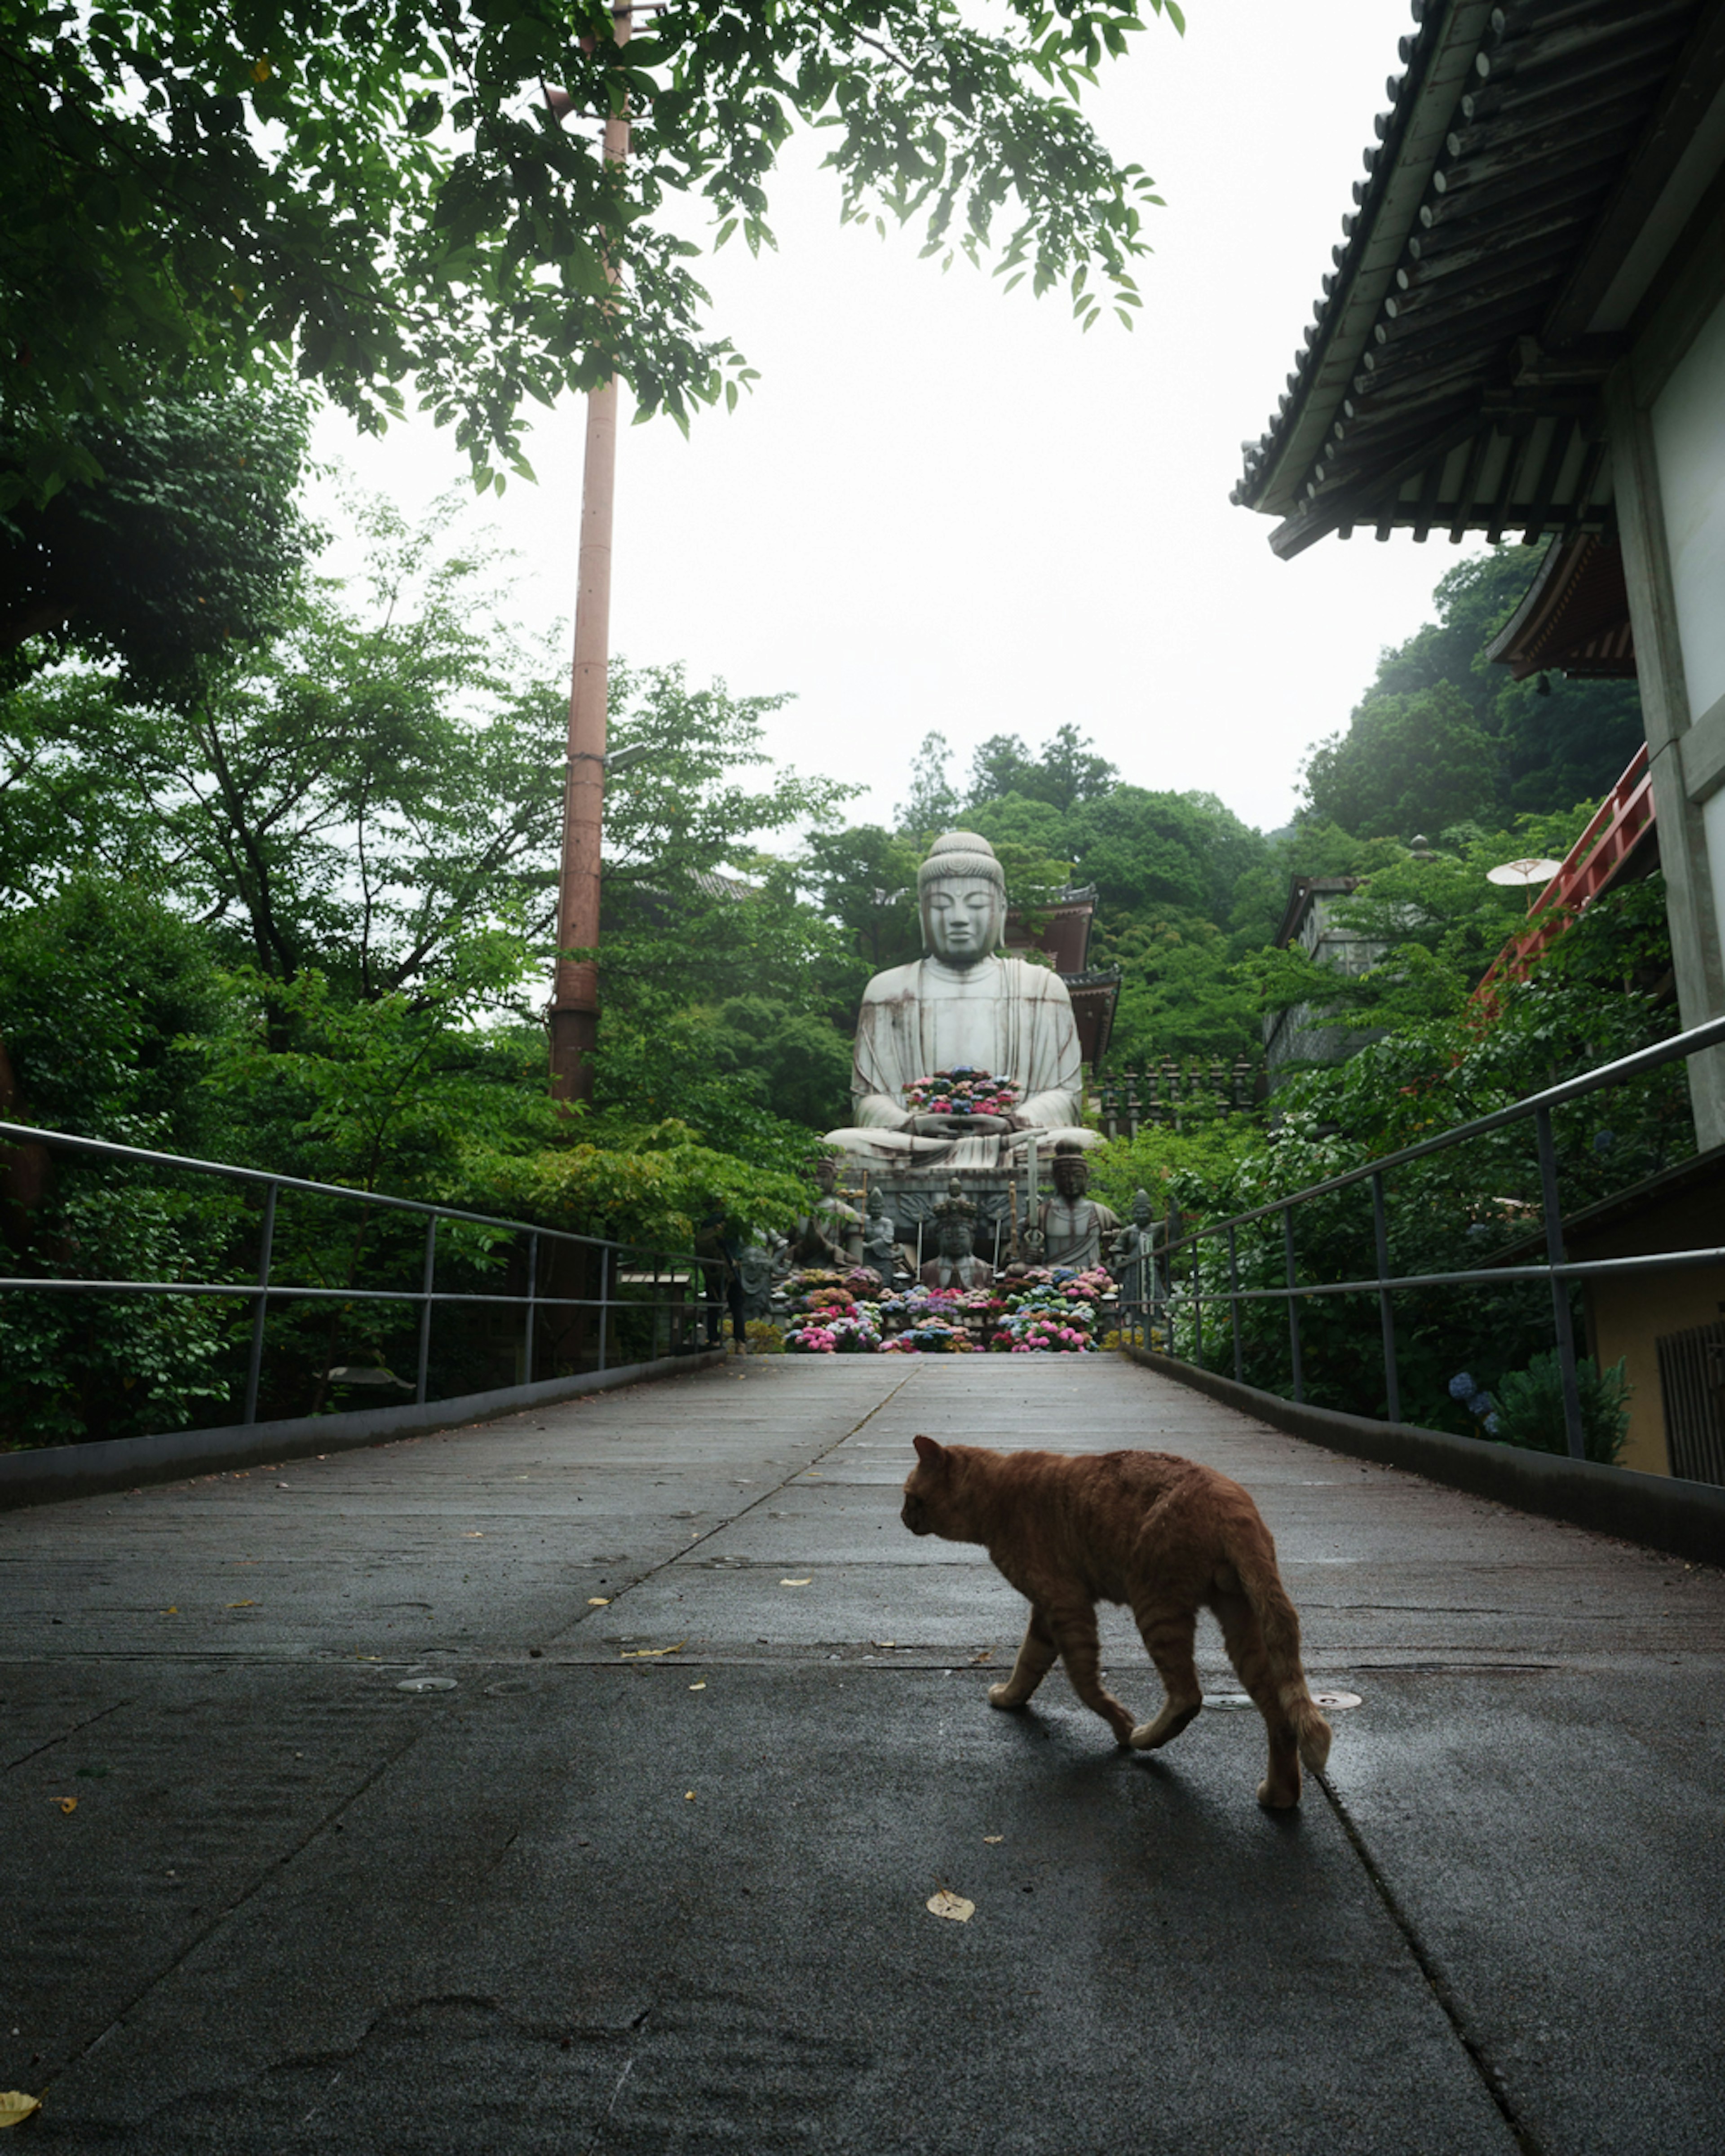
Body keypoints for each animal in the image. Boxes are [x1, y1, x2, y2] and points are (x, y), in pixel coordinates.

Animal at [901, 1440, 1337, 1811]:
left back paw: (1143, 1736)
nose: (902, 1517)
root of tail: (1231, 1499)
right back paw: (1280, 1796)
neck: (997, 1493)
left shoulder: (1068, 1605)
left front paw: (1119, 1722)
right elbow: (1028, 1662)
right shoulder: (1046, 1614)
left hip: (1155, 1606)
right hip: (1241, 1624)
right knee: (1279, 1716)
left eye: (909, 1495)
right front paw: (1011, 1698)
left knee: (1188, 1696)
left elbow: (1084, 1682)